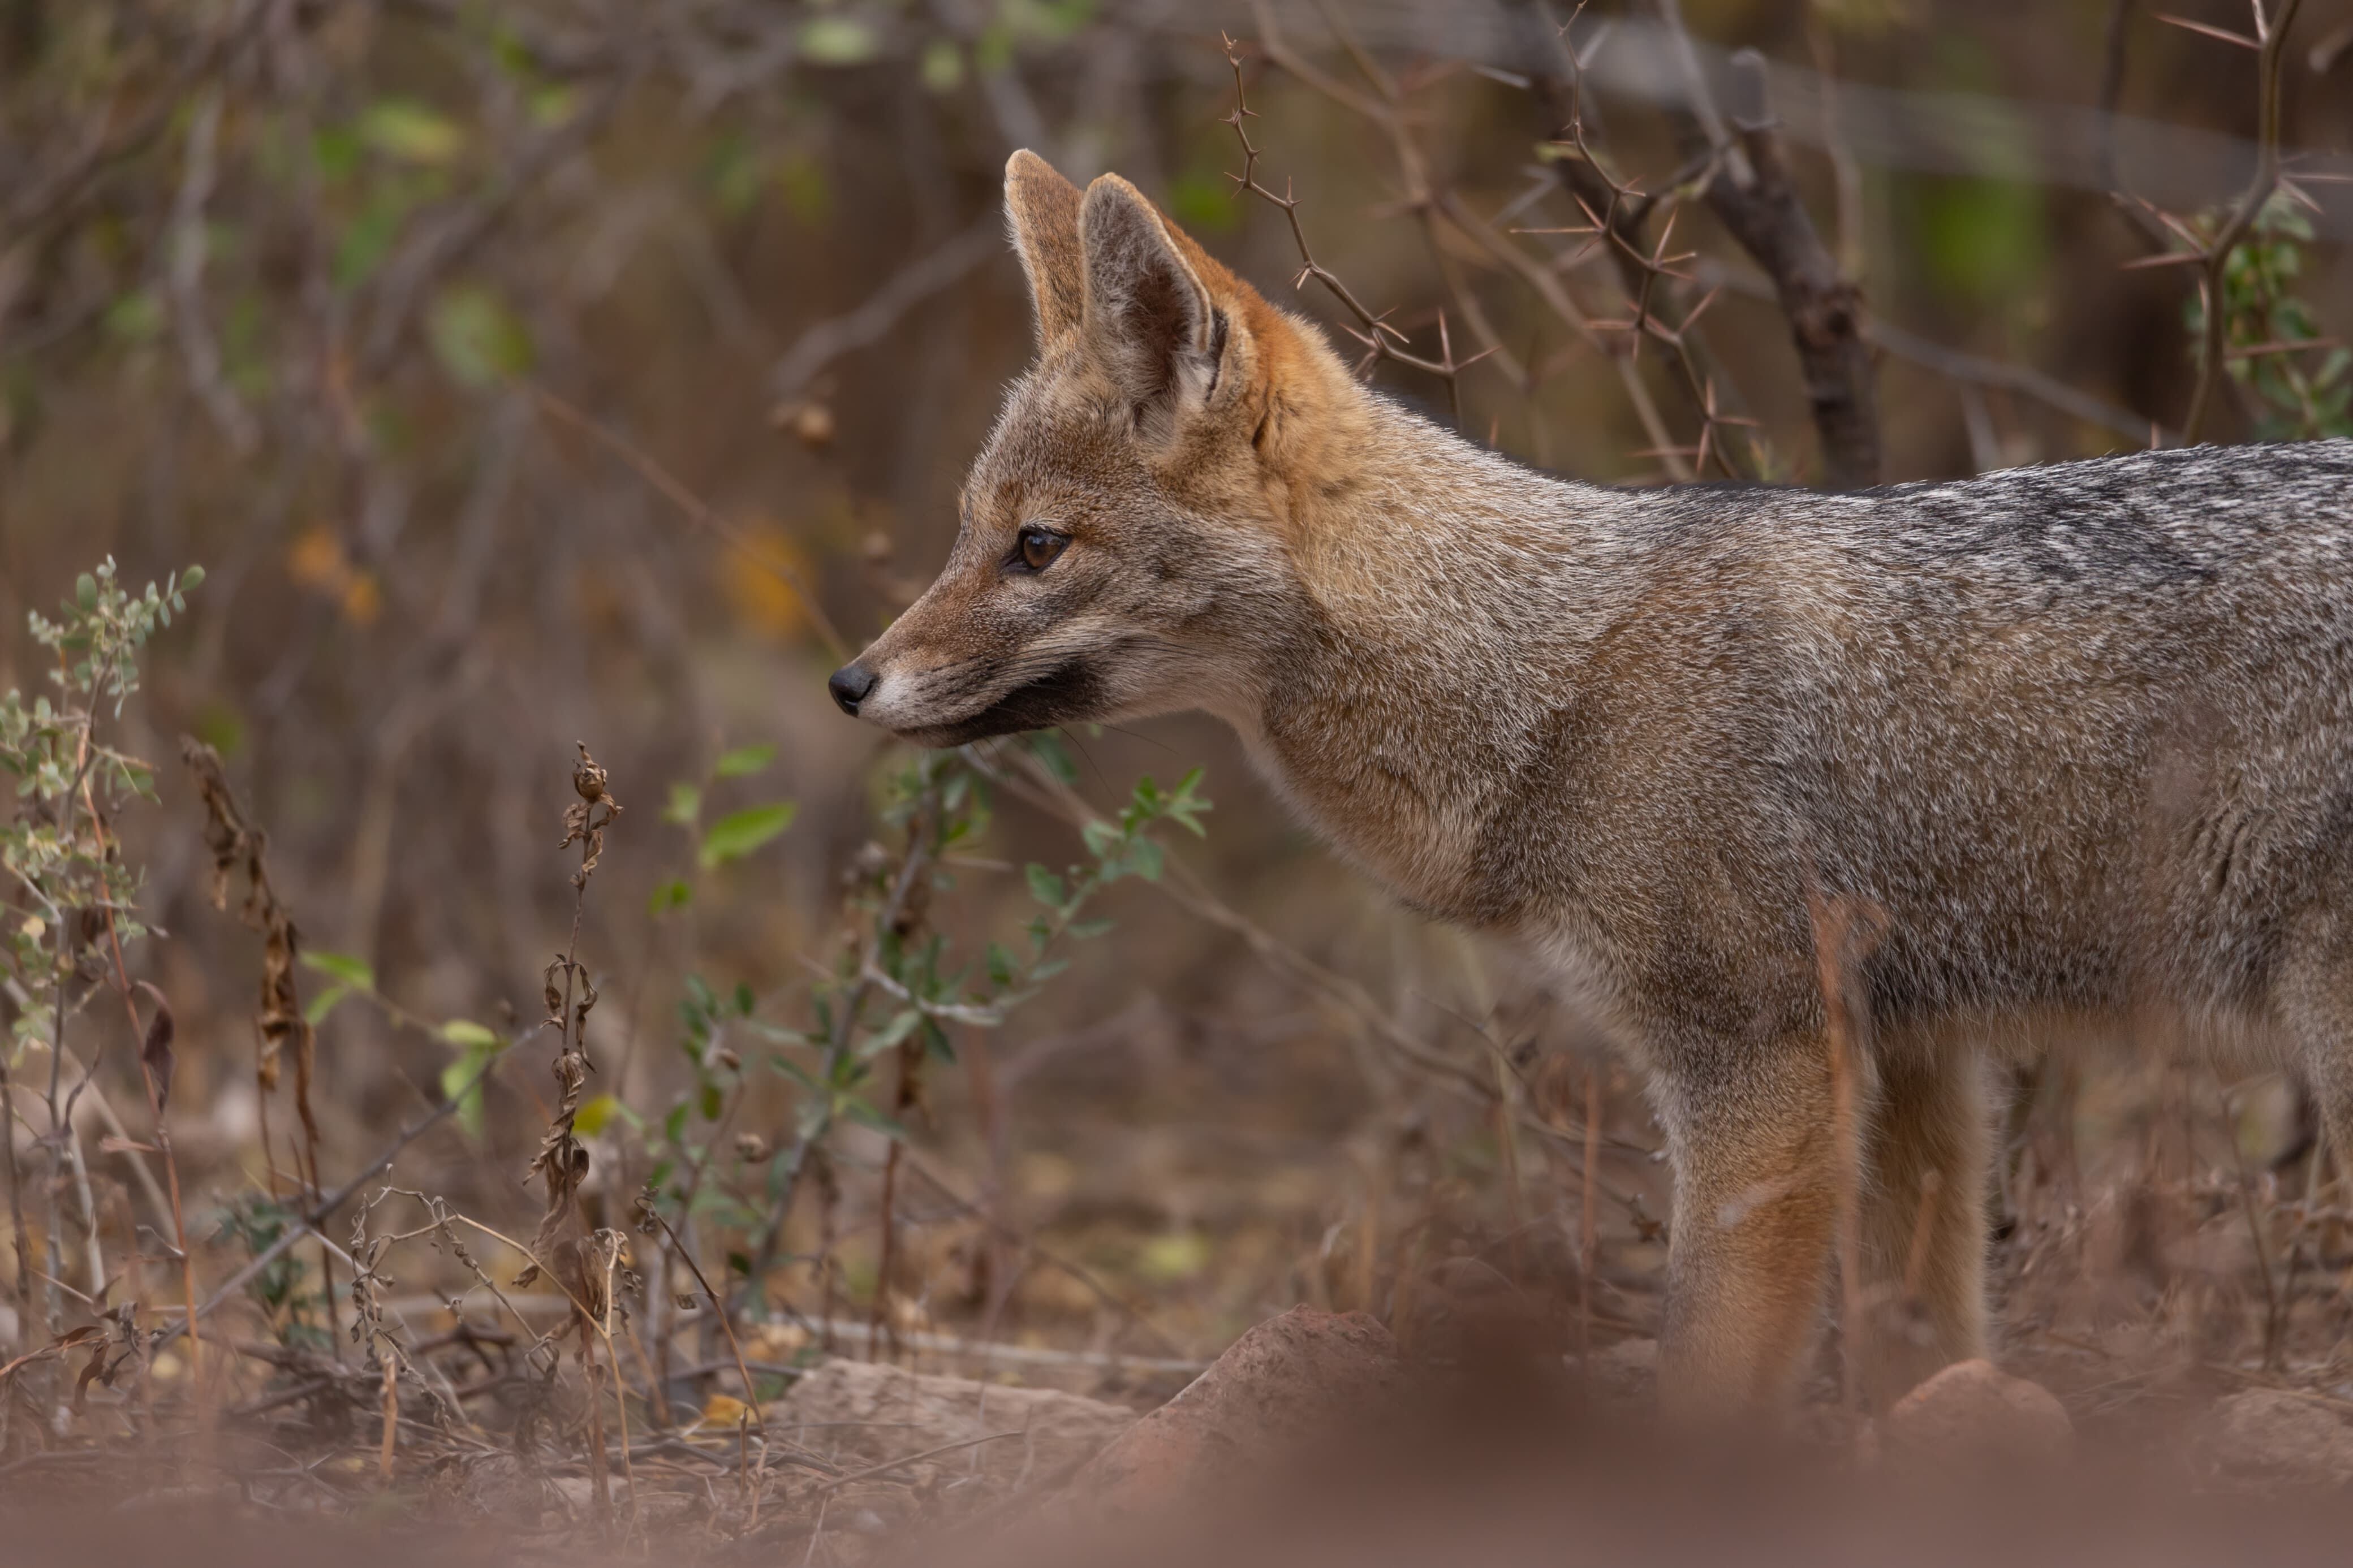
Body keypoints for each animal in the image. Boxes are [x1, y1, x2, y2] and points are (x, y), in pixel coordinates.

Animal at [828, 150, 2353, 1420]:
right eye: (968, 535)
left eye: (1037, 549)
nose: (852, 683)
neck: (1541, 676)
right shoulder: (1915, 1057)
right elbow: (1928, 1349)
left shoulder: (1757, 1070)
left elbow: (1705, 1377)